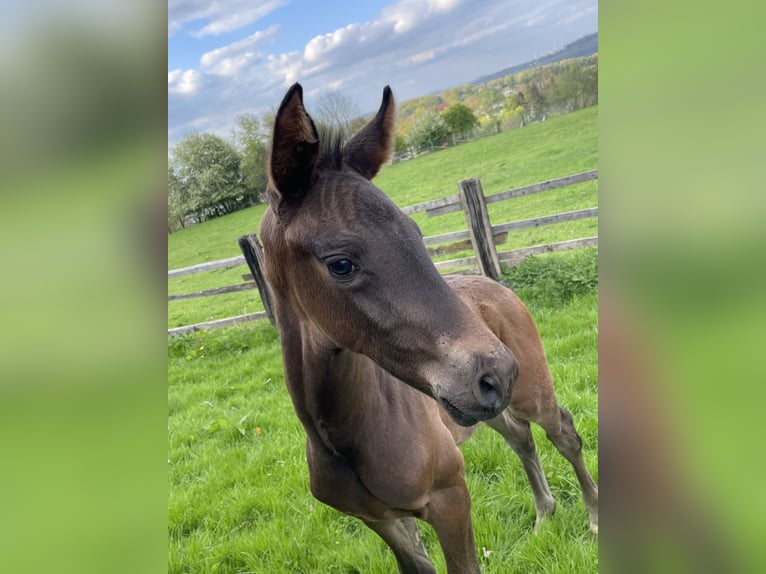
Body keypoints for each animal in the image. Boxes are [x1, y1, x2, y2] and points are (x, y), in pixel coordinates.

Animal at [260, 83, 600, 572]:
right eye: (340, 264)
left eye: (417, 234)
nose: (498, 373)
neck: (343, 439)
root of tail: (494, 283)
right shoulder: (383, 522)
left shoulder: (450, 496)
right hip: (482, 410)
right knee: (519, 437)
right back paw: (543, 514)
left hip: (531, 391)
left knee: (564, 433)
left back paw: (594, 516)